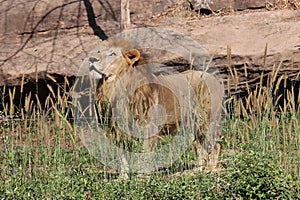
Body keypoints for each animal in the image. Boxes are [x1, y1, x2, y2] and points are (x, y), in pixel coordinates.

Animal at [88, 38, 224, 175]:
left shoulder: (148, 127)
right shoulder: (116, 129)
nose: (92, 58)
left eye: (112, 54)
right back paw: (196, 171)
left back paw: (211, 169)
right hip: (192, 125)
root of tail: (212, 77)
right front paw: (123, 176)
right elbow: (122, 156)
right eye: (99, 51)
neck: (114, 87)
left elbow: (144, 155)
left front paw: (142, 176)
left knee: (215, 145)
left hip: (207, 121)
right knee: (200, 147)